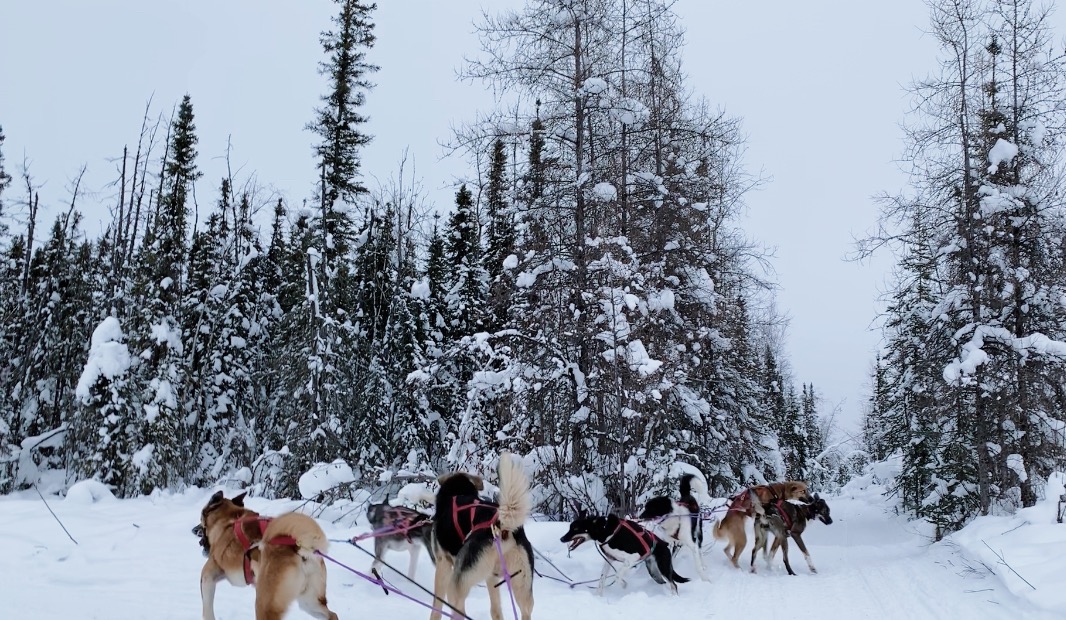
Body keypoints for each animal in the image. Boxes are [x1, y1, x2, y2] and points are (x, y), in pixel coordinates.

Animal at [194, 494, 338, 620]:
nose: (194, 529)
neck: (228, 521)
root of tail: (299, 547)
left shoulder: (207, 575)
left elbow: (207, 609)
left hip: (264, 604)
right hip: (309, 601)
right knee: (332, 615)